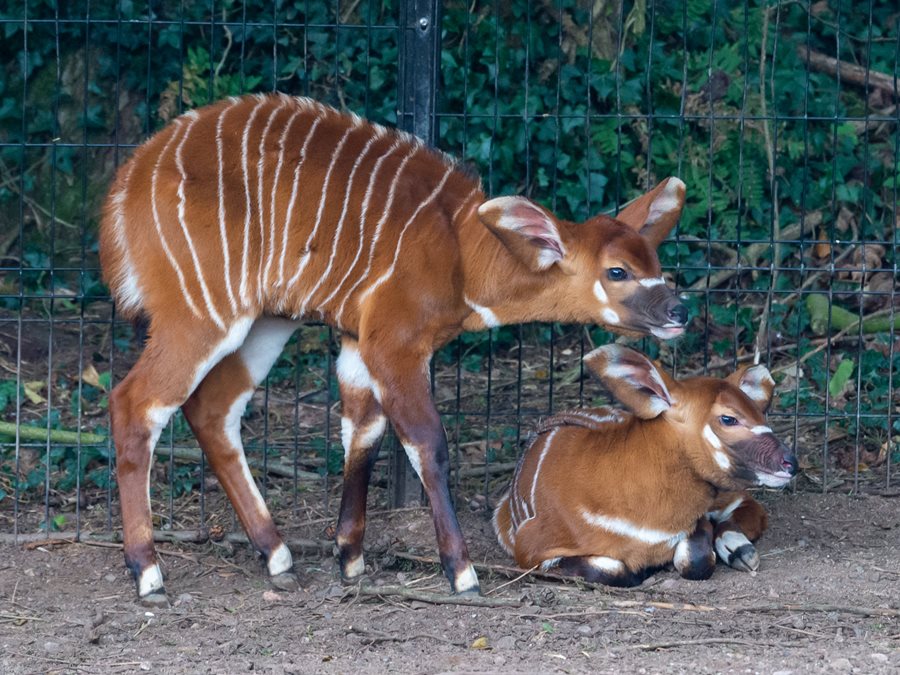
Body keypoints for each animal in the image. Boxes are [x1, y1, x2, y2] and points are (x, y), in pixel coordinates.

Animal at [98, 92, 688, 604]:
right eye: (617, 271)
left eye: (656, 262)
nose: (679, 312)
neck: (461, 250)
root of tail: (124, 189)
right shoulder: (395, 342)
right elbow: (427, 443)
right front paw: (462, 573)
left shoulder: (358, 342)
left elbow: (362, 434)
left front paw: (351, 560)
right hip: (200, 312)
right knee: (136, 402)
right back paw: (148, 572)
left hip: (267, 320)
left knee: (213, 408)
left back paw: (278, 555)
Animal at [496, 346, 800, 588]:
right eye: (729, 418)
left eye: (761, 413)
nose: (790, 462)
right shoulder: (530, 551)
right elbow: (616, 569)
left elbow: (696, 560)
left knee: (749, 505)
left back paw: (741, 552)